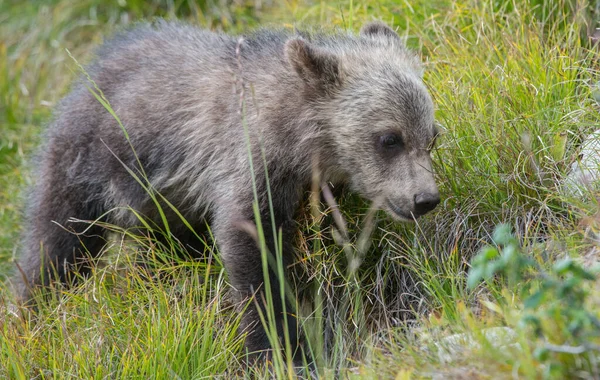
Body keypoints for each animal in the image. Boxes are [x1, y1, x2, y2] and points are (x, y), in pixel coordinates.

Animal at [10, 20, 440, 362]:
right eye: (389, 138)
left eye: (431, 136)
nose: (425, 199)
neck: (299, 143)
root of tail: (90, 71)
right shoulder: (246, 160)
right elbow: (253, 252)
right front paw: (277, 349)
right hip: (89, 162)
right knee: (55, 245)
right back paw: (31, 312)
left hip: (167, 205)